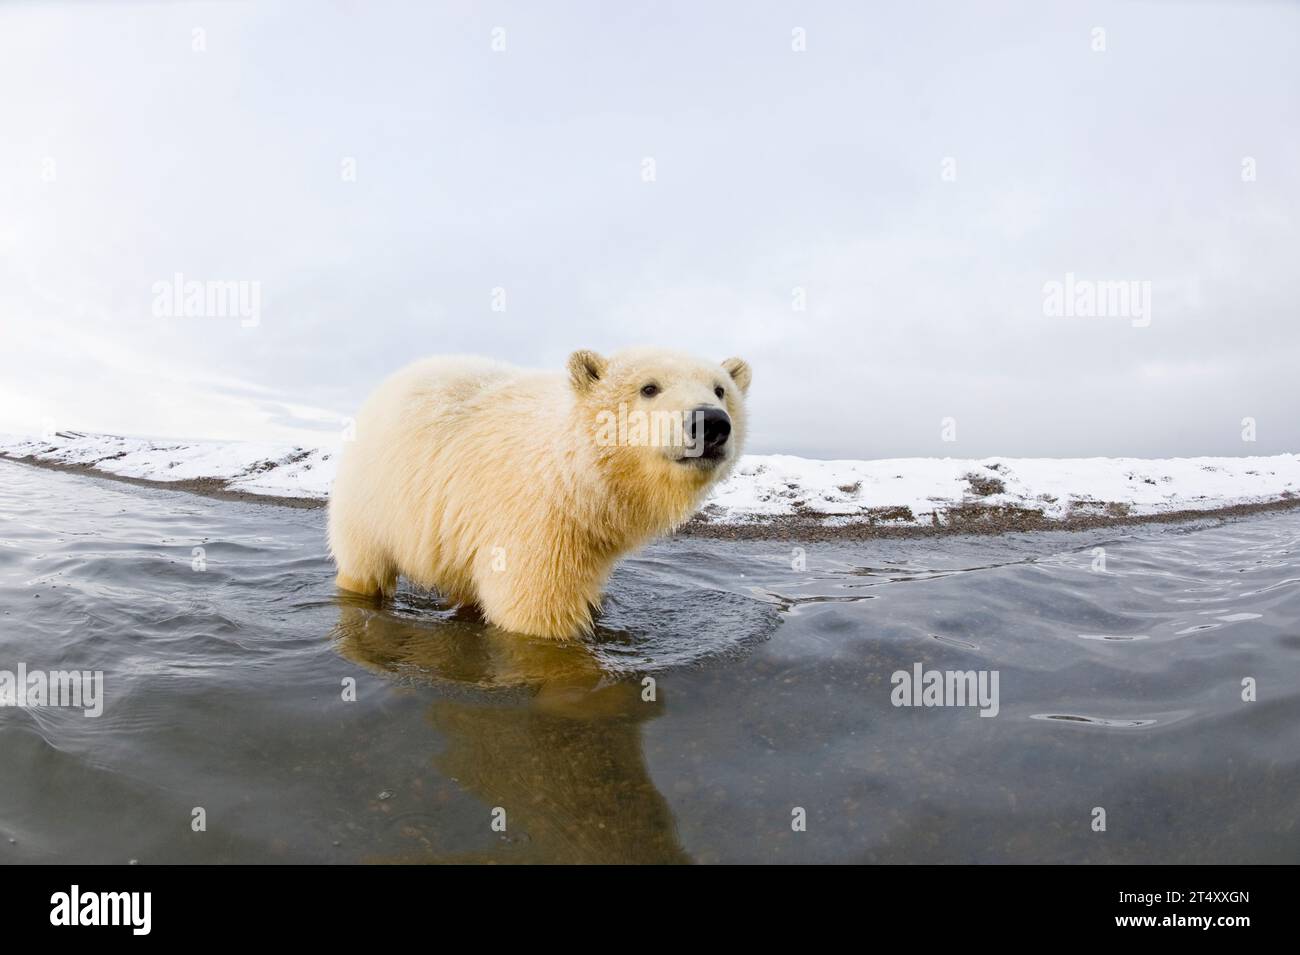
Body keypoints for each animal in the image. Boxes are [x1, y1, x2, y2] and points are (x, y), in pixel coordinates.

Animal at [327, 348, 754, 639]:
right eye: (649, 387)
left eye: (721, 389)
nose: (710, 422)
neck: (576, 477)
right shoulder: (534, 520)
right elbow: (535, 611)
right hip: (371, 499)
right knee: (365, 566)